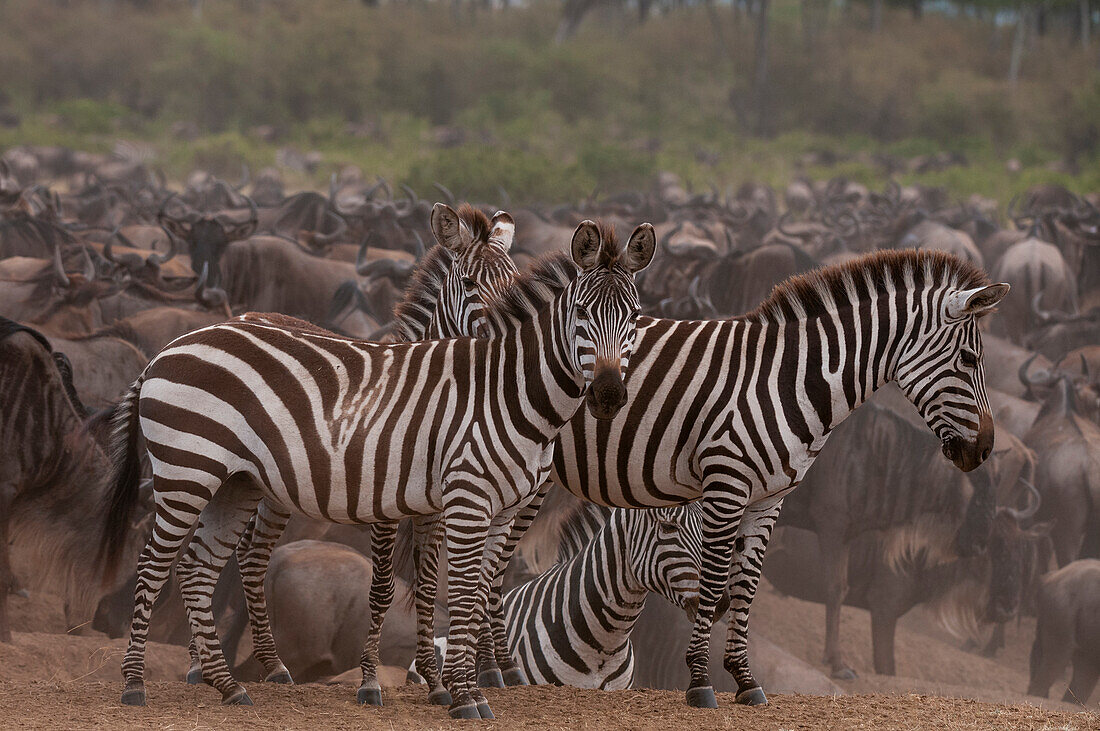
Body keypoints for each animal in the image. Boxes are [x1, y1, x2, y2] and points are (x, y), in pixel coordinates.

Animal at [177, 200, 523, 694]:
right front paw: (371, 681)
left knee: (250, 555)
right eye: (472, 283)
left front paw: (434, 681)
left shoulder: (438, 506)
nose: (511, 332)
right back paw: (202, 666)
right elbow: (383, 588)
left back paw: (270, 666)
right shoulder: (384, 504)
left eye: (515, 280)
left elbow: (426, 584)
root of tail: (242, 316)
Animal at [477, 249, 1007, 707]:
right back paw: (488, 673)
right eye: (969, 359)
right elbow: (715, 583)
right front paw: (699, 682)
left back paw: (499, 672)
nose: (984, 449)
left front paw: (746, 682)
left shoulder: (770, 499)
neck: (790, 381)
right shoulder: (727, 485)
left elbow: (747, 584)